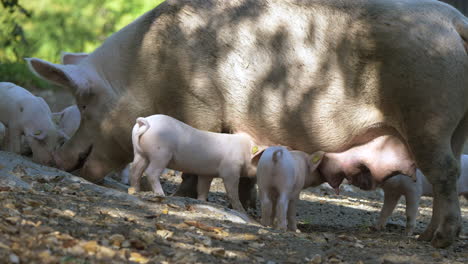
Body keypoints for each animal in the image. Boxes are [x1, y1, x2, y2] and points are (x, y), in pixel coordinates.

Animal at [26, 0, 468, 248]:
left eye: (85, 103)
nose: (58, 159)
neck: (144, 70)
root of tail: (454, 22)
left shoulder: (200, 108)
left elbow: (194, 163)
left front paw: (188, 195)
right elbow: (241, 175)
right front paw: (249, 206)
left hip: (428, 117)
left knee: (444, 174)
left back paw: (440, 241)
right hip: (455, 126)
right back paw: (429, 236)